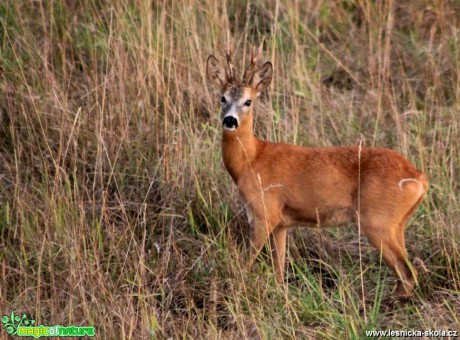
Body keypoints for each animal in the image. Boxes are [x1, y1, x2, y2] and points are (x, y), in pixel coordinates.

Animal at [205, 45, 428, 298]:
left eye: (248, 101)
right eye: (222, 98)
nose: (230, 120)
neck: (251, 159)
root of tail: (419, 177)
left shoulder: (264, 212)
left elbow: (245, 263)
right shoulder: (281, 223)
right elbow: (279, 270)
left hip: (377, 221)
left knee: (407, 273)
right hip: (396, 224)